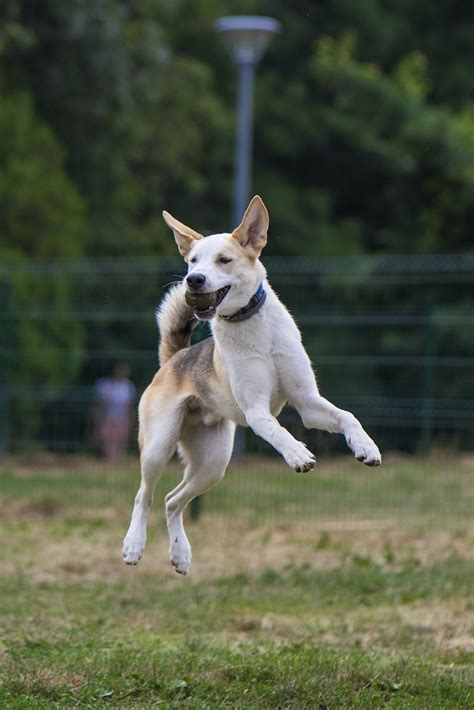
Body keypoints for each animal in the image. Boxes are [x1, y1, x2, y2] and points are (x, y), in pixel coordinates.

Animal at [123, 197, 382, 576]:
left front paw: (366, 448)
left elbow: (348, 416)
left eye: (224, 260)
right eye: (192, 260)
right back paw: (133, 545)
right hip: (159, 444)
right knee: (145, 495)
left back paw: (180, 554)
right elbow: (278, 432)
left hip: (213, 463)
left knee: (173, 500)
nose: (192, 280)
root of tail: (176, 358)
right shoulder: (257, 410)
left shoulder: (308, 402)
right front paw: (298, 455)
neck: (254, 328)